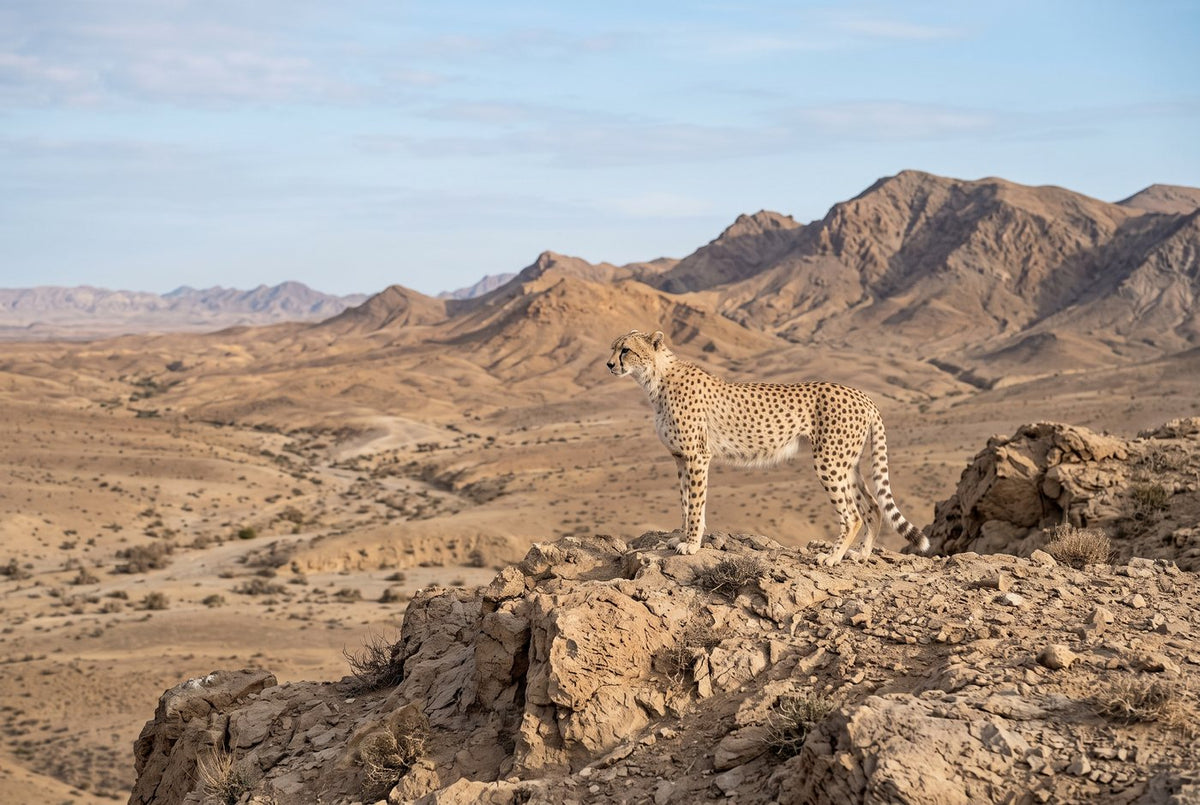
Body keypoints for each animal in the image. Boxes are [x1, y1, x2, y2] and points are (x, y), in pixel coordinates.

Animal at [607, 329, 929, 566]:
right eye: (613, 348)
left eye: (626, 350)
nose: (609, 364)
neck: (655, 379)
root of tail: (862, 394)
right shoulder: (679, 458)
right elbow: (685, 503)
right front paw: (681, 538)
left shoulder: (697, 457)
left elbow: (696, 504)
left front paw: (692, 544)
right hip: (848, 463)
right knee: (873, 506)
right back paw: (861, 554)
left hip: (830, 462)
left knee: (852, 514)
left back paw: (832, 557)